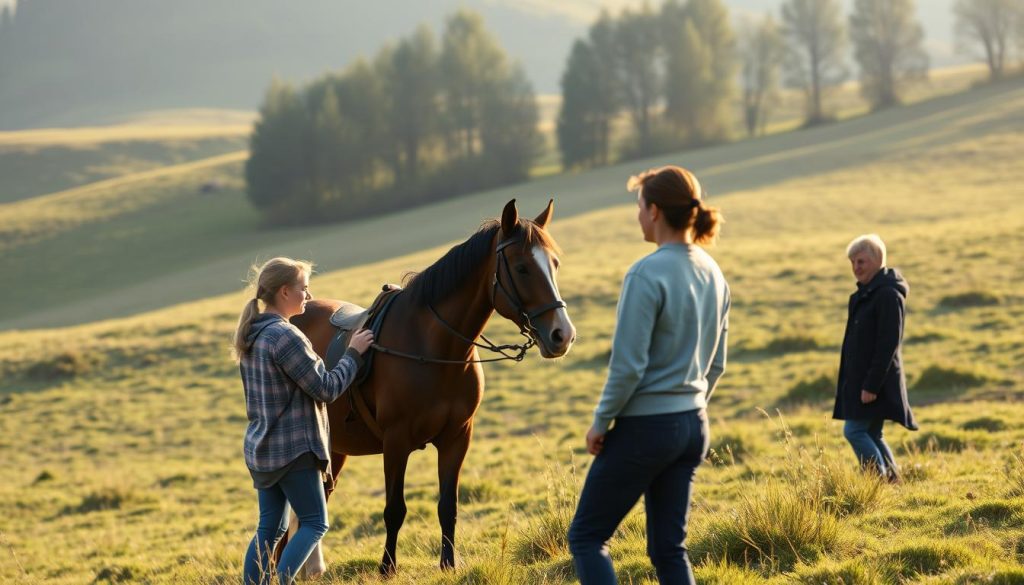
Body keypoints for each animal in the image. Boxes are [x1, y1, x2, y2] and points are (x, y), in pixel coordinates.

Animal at [290, 198, 577, 573]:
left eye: (554, 263)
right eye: (522, 267)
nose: (562, 335)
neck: (434, 349)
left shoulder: (457, 438)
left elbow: (448, 506)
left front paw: (448, 564)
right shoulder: (396, 442)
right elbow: (394, 510)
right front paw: (387, 568)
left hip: (334, 449)